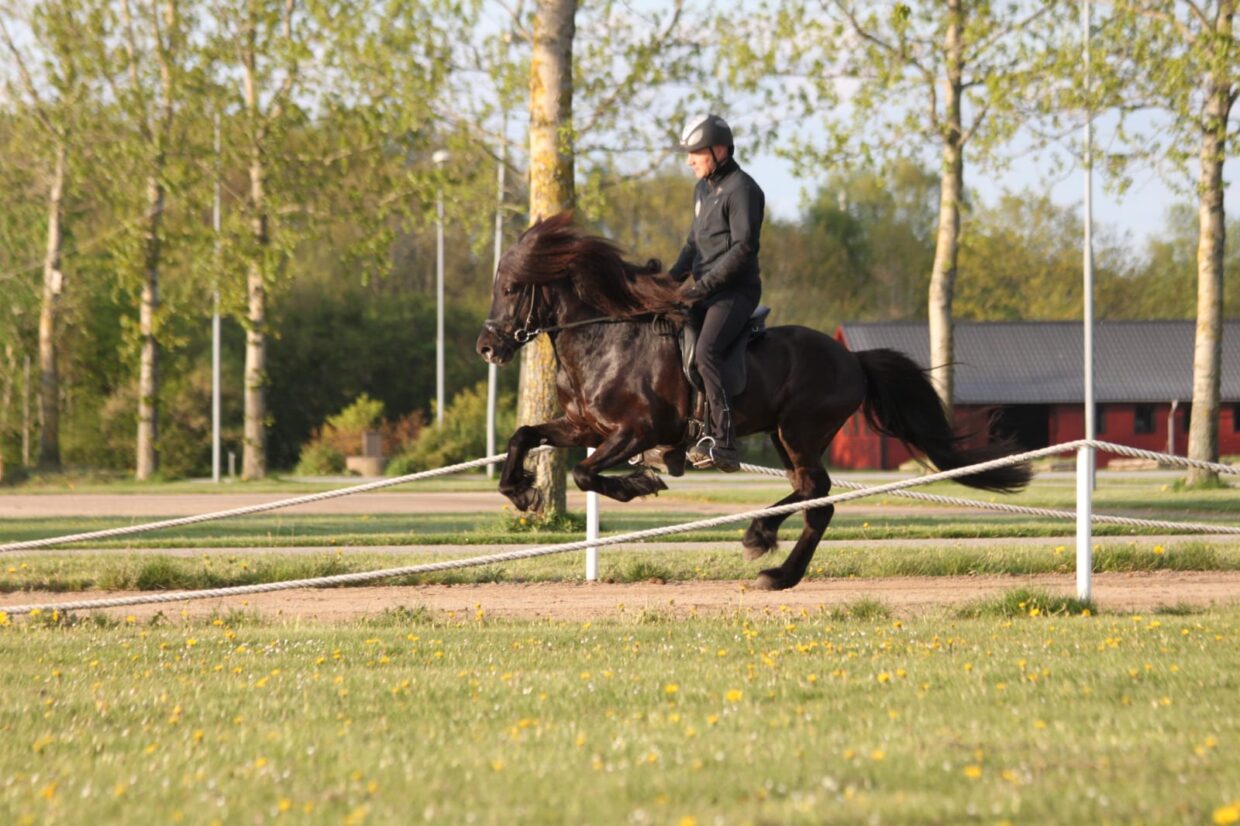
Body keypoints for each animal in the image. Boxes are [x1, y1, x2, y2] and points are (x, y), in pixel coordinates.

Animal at [473, 210, 1026, 585]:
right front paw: (522, 491)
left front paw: (639, 484)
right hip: (786, 436)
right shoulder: (585, 427)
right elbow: (524, 435)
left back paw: (771, 557)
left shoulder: (637, 431)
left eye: (512, 288)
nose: (487, 347)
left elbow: (587, 473)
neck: (603, 339)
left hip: (799, 431)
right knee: (812, 492)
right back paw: (770, 551)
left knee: (817, 495)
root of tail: (852, 359)